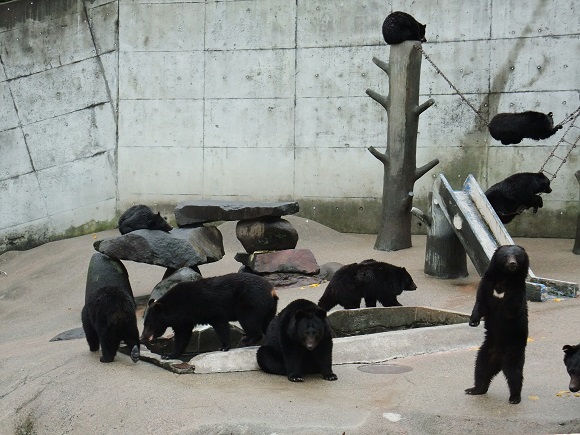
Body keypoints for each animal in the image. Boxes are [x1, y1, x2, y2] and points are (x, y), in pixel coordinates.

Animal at [140, 274, 276, 360]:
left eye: (149, 324)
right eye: (145, 323)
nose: (142, 337)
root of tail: (272, 291)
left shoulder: (208, 308)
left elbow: (220, 323)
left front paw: (224, 346)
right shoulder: (184, 320)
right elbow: (182, 336)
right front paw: (169, 355)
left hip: (251, 302)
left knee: (249, 321)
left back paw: (247, 339)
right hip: (269, 309)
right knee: (267, 324)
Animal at [464, 245, 528, 406]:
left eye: (517, 256)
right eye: (506, 256)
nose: (512, 264)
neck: (504, 279)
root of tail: (498, 359)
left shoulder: (517, 289)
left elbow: (512, 309)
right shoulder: (487, 284)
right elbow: (480, 302)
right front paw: (473, 321)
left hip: (514, 351)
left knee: (514, 373)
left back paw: (514, 397)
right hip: (485, 351)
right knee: (480, 368)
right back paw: (475, 389)